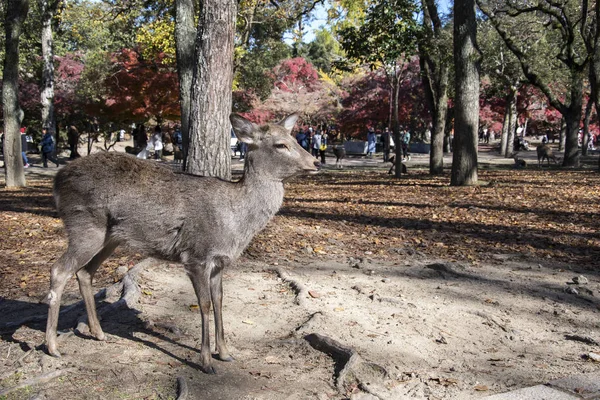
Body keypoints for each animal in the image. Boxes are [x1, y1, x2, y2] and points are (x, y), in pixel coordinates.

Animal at [45, 113, 318, 376]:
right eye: (280, 144)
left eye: (294, 138)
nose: (315, 162)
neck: (235, 224)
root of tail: (57, 180)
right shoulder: (195, 255)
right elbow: (204, 304)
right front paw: (206, 362)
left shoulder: (220, 262)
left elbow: (219, 301)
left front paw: (225, 353)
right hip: (84, 226)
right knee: (59, 270)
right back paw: (53, 347)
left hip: (109, 237)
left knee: (84, 272)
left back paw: (99, 333)